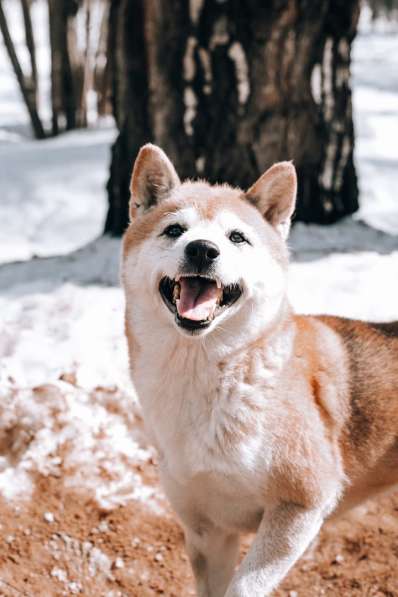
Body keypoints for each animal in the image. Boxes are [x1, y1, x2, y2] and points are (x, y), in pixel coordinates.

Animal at [121, 146, 398, 596]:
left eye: (236, 237)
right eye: (175, 229)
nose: (202, 250)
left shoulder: (301, 504)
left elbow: (243, 587)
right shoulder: (207, 530)